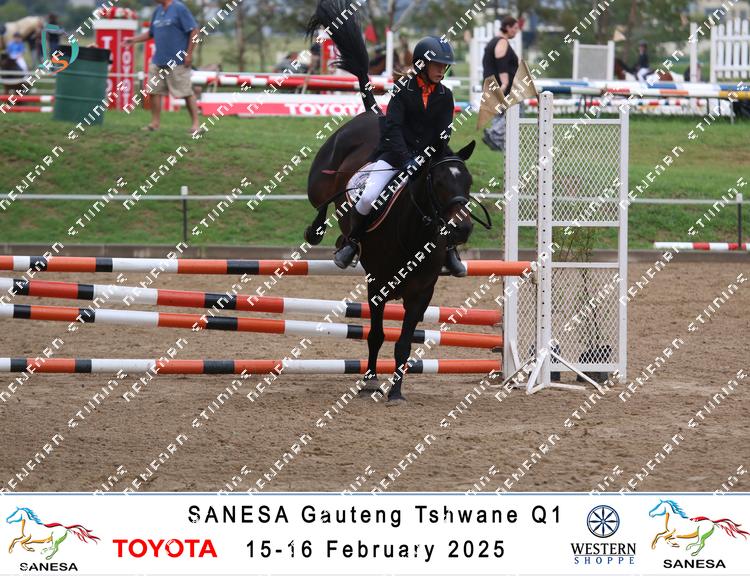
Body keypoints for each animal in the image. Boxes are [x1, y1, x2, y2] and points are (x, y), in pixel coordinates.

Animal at [303, 0, 482, 403]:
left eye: (467, 181)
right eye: (438, 182)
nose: (462, 229)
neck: (413, 233)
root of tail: (374, 117)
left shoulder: (421, 294)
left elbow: (403, 344)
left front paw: (396, 391)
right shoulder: (378, 285)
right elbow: (376, 334)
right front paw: (370, 380)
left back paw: (342, 240)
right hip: (320, 181)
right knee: (321, 203)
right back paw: (323, 235)